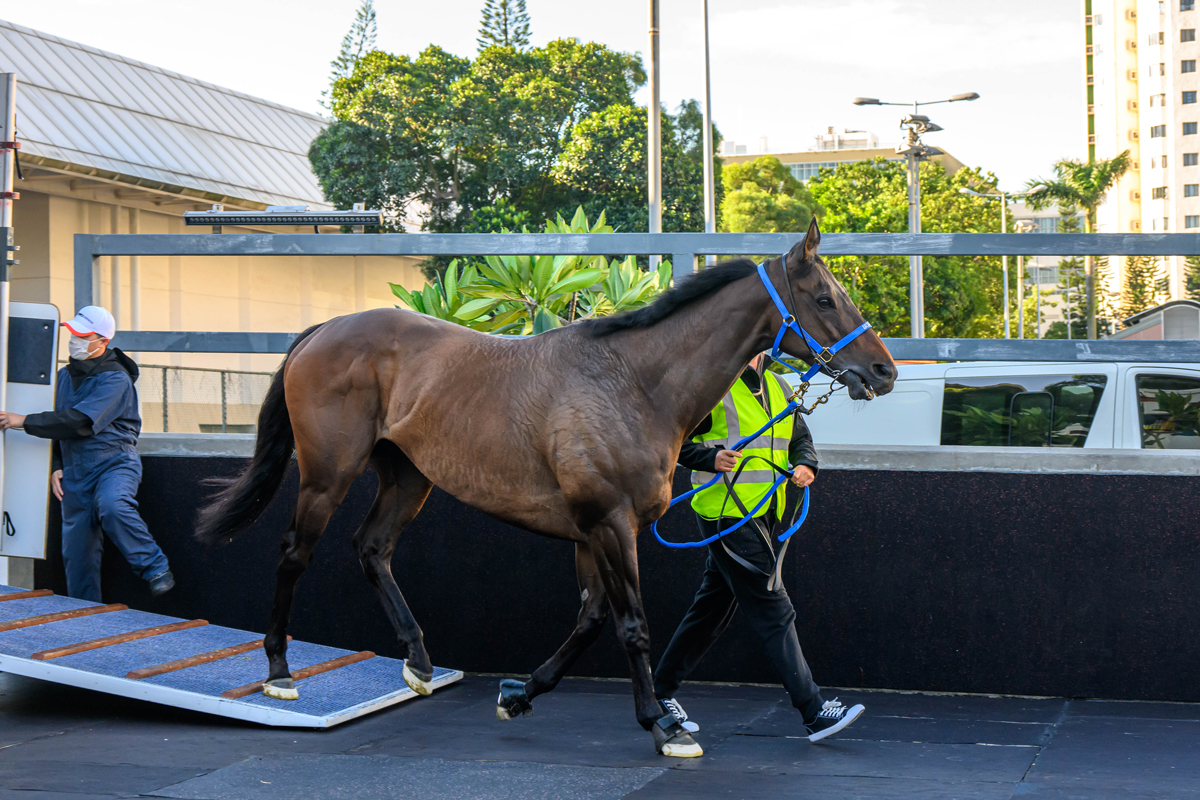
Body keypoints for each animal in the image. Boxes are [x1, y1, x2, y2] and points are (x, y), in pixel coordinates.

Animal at [194, 219, 892, 758]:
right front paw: (663, 726)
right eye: (824, 298)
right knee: (295, 553)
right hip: (327, 473)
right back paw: (279, 671)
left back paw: (418, 662)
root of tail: (323, 329)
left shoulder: (592, 531)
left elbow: (589, 619)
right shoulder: (609, 523)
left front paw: (519, 695)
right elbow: (632, 624)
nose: (882, 370)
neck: (634, 384)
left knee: (372, 547)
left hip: (409, 475)